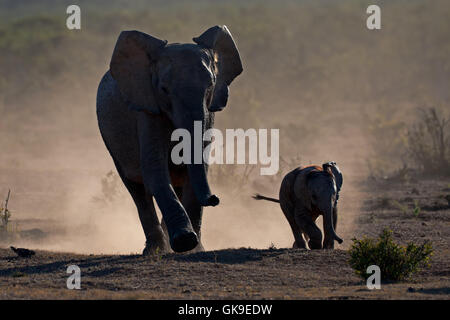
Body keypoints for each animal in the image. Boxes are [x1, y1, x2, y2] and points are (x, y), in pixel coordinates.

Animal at [95, 25, 243, 255]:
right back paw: (155, 249)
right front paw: (185, 242)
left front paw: (194, 249)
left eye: (210, 86)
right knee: (138, 191)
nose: (215, 199)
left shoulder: (208, 112)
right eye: (164, 89)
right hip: (112, 142)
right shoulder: (147, 108)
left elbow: (198, 165)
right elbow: (155, 167)